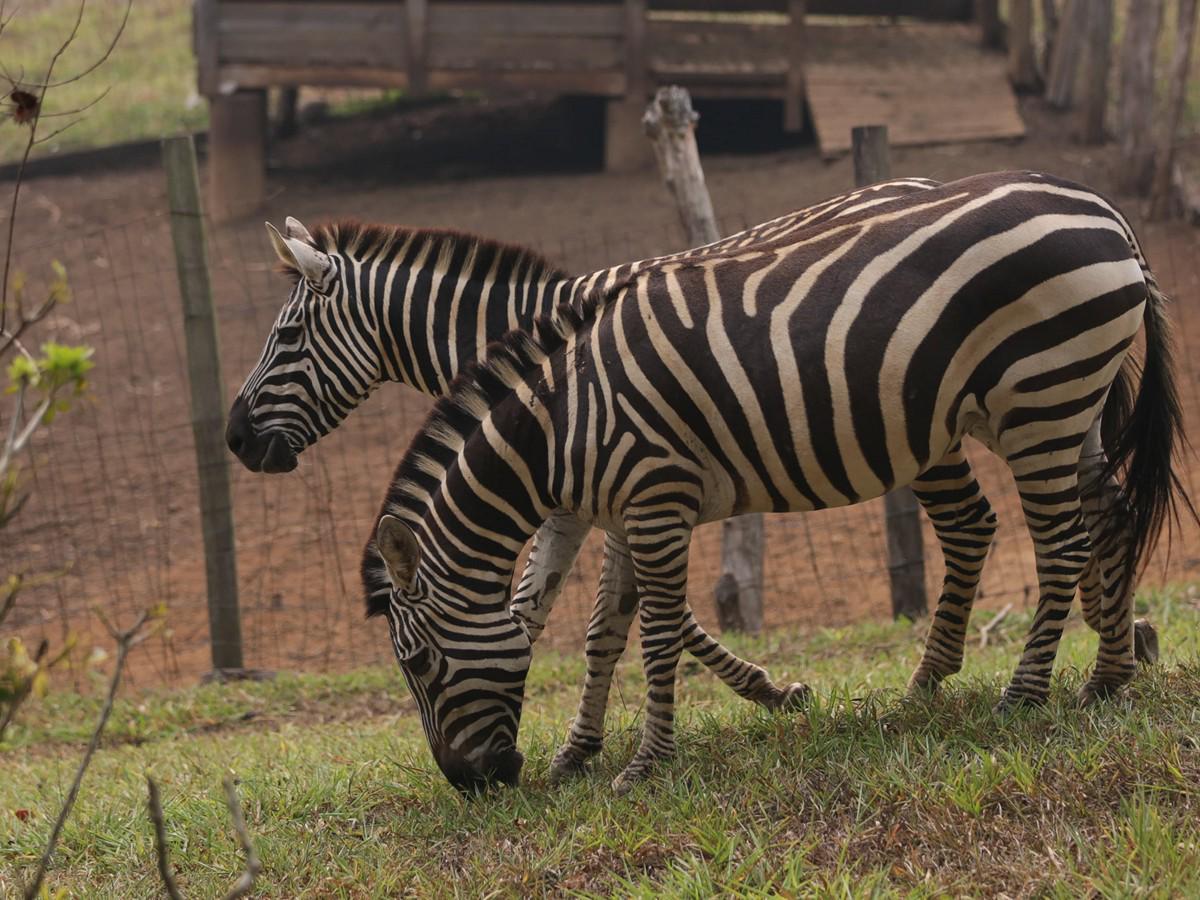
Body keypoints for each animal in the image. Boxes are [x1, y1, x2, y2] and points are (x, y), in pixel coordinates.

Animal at [226, 176, 1012, 782]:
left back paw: (933, 682)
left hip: (920, 427)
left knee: (972, 521)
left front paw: (761, 691)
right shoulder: (591, 494)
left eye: (286, 339)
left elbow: (629, 616)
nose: (235, 438)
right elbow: (600, 614)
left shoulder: (610, 484)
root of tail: (917, 183)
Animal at [360, 172, 1195, 792]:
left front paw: (648, 764)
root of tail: (1107, 213)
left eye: (419, 663)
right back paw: (1107, 676)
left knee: (1058, 544)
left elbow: (656, 633)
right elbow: (608, 629)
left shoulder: (655, 497)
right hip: (1062, 402)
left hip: (1038, 396)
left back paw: (1022, 694)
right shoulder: (625, 510)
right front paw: (583, 752)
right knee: (1110, 515)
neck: (565, 421)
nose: (475, 784)